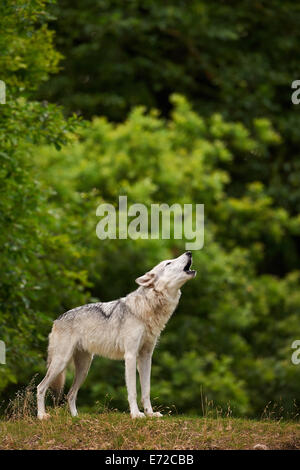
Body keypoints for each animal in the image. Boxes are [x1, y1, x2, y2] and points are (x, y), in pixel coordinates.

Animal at [36, 252, 196, 420]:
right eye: (168, 263)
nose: (189, 252)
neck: (148, 309)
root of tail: (56, 320)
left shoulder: (146, 357)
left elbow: (146, 390)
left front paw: (150, 414)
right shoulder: (130, 355)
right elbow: (132, 391)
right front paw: (136, 414)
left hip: (84, 368)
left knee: (70, 394)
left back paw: (76, 418)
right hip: (61, 362)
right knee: (40, 387)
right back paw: (42, 416)